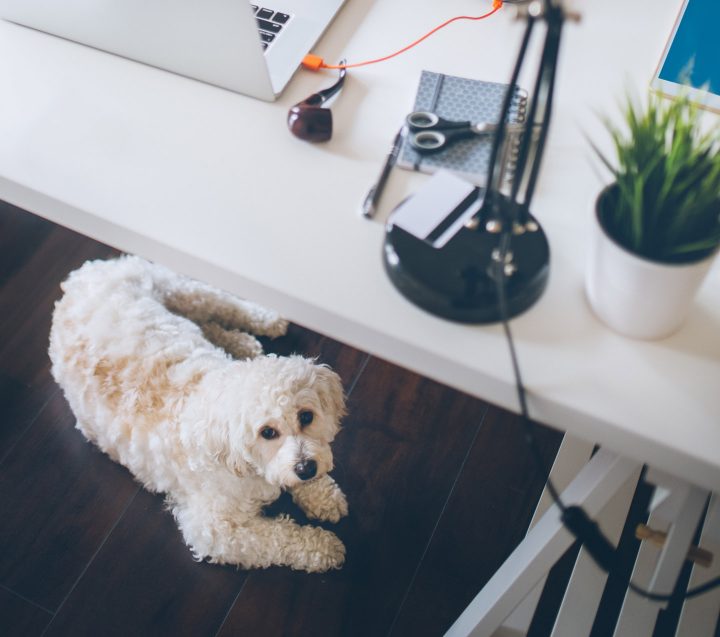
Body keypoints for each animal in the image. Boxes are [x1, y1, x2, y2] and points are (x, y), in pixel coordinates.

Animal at [49, 255, 348, 572]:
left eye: (306, 416)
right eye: (267, 432)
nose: (306, 468)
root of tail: (78, 277)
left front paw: (323, 496)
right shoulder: (214, 532)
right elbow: (279, 538)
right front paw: (323, 546)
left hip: (180, 291)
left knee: (223, 304)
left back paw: (260, 325)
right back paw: (242, 342)